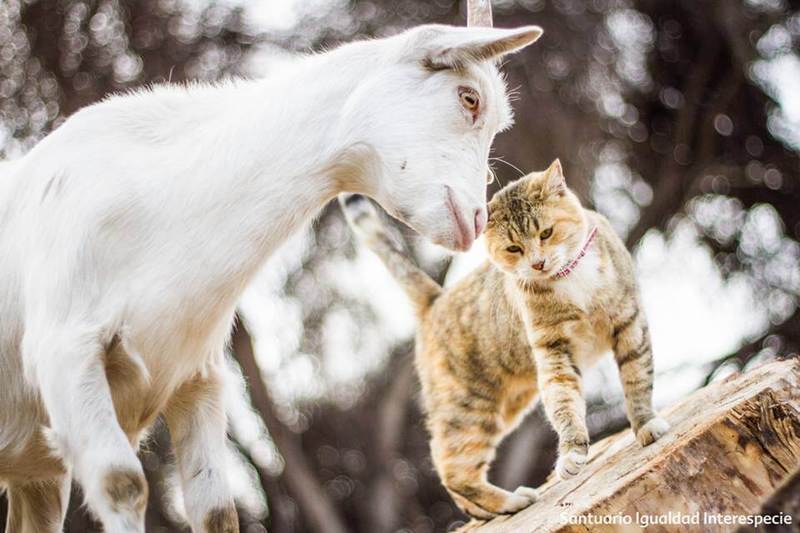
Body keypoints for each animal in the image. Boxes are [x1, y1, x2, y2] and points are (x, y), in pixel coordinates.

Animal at [0, 23, 540, 532]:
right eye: (468, 98)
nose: (474, 220)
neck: (159, 199)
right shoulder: (68, 355)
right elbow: (122, 483)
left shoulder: (198, 380)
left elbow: (218, 510)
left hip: (37, 475)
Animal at [340, 158, 672, 516]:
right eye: (514, 248)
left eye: (546, 232)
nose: (538, 264)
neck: (571, 279)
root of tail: (436, 299)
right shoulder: (554, 350)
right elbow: (564, 403)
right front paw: (571, 453)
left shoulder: (629, 323)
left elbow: (637, 380)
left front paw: (645, 425)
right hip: (471, 410)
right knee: (452, 470)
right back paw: (511, 501)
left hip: (508, 405)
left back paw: (484, 511)